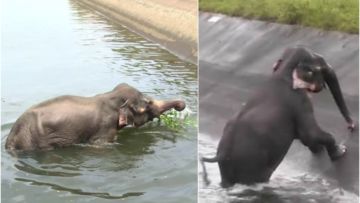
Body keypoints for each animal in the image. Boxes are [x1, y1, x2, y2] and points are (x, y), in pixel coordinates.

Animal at [4, 82, 186, 151]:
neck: (111, 97)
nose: (181, 106)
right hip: (35, 141)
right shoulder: (104, 129)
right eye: (146, 106)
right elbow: (100, 145)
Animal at [201, 46, 356, 188]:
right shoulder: (298, 101)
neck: (284, 69)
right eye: (320, 66)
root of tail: (220, 155)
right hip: (250, 163)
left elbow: (304, 136)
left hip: (229, 169)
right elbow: (310, 133)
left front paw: (318, 149)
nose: (352, 126)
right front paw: (341, 151)